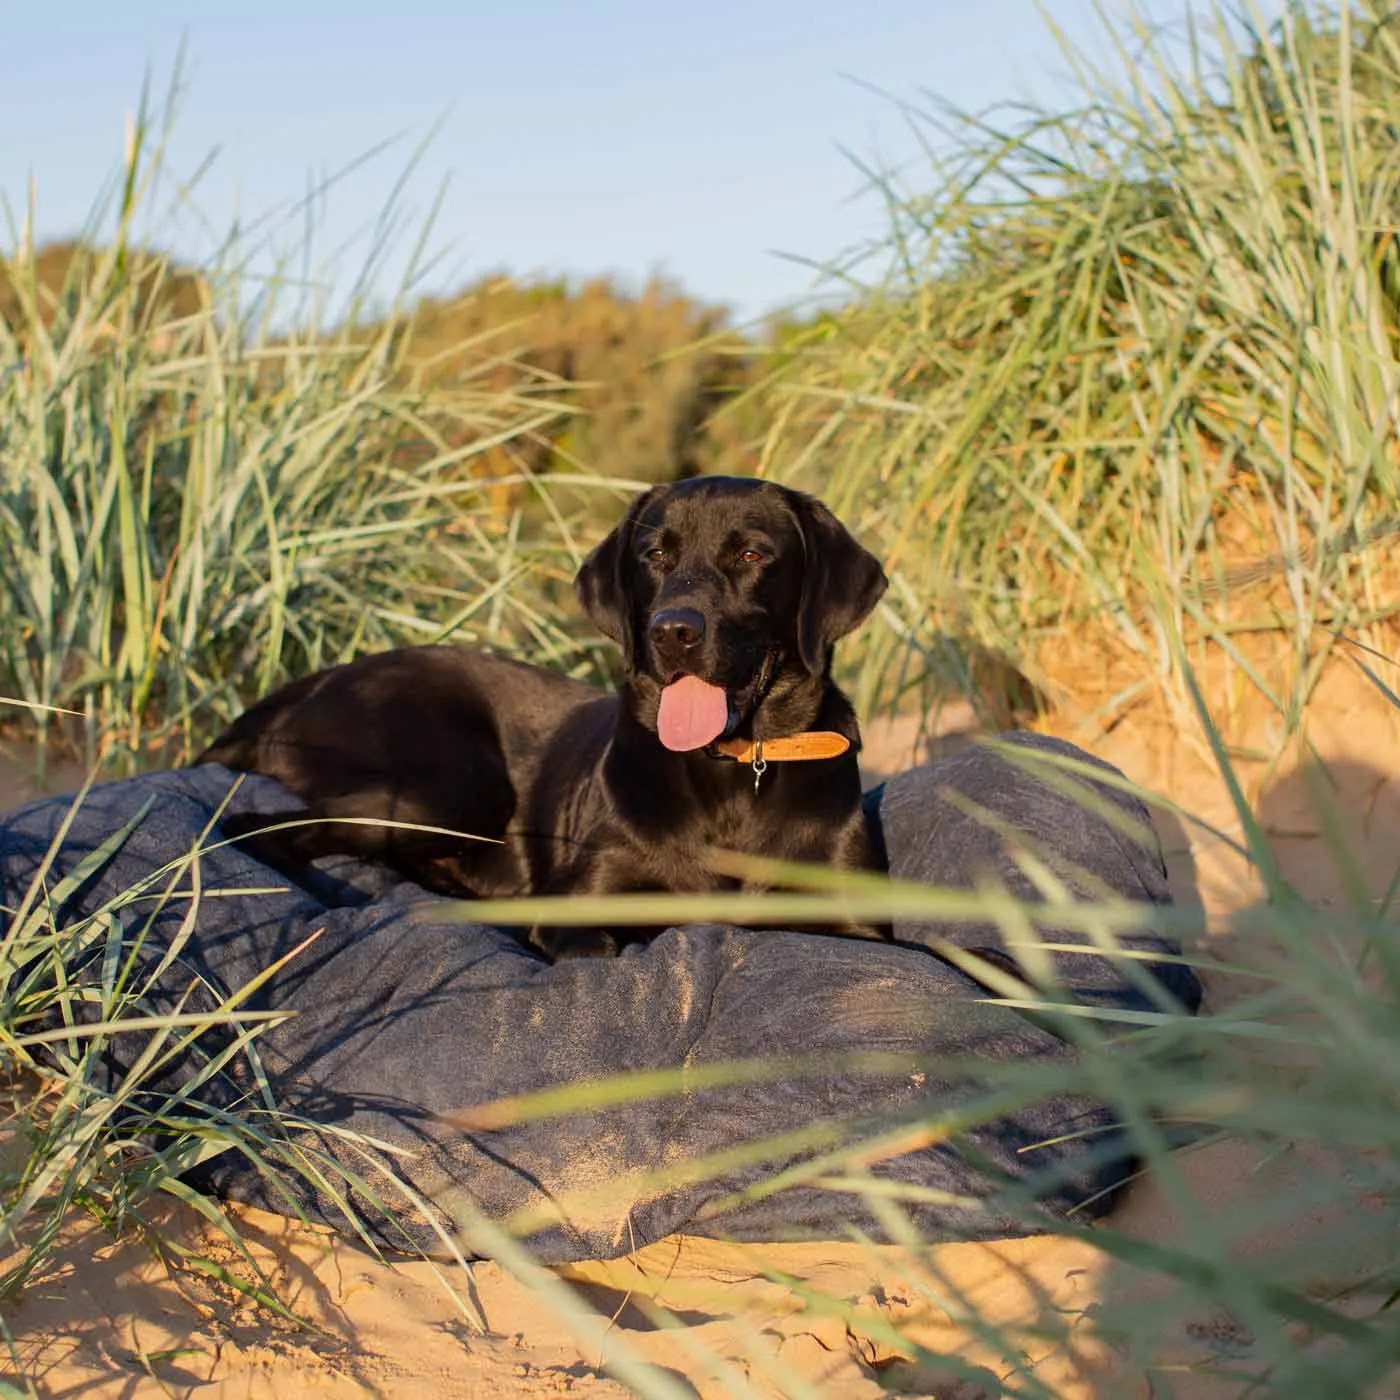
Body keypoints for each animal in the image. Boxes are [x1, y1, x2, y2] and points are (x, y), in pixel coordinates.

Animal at [200, 476, 884, 957]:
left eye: (751, 555)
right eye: (654, 555)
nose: (673, 631)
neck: (737, 771)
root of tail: (313, 682)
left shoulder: (859, 926)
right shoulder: (581, 909)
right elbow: (601, 946)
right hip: (453, 787)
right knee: (255, 825)